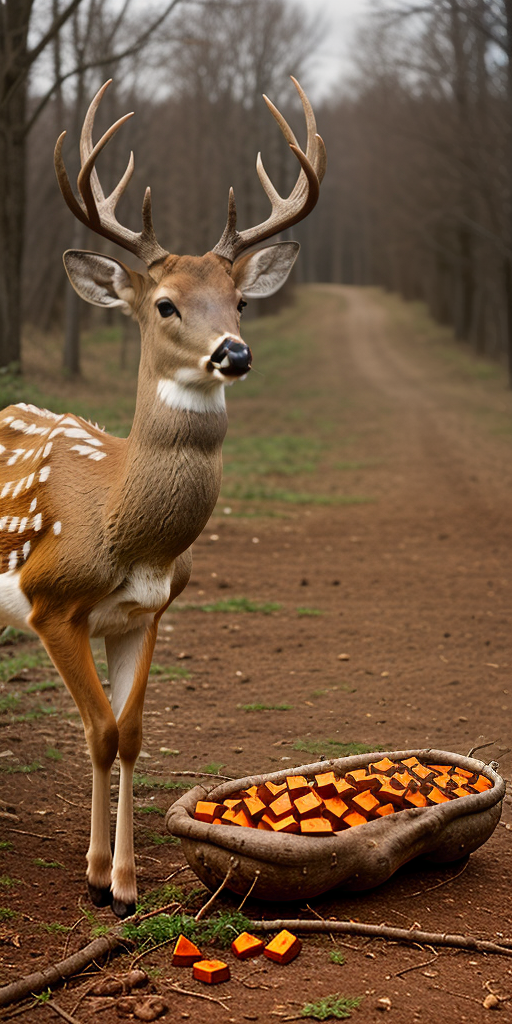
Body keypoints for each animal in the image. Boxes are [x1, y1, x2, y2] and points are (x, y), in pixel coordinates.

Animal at [0, 78, 325, 918]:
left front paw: (122, 882)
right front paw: (95, 880)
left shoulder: (147, 612)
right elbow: (97, 732)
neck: (127, 528)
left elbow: (132, 733)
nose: (234, 353)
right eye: (166, 304)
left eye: (239, 301)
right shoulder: (52, 602)